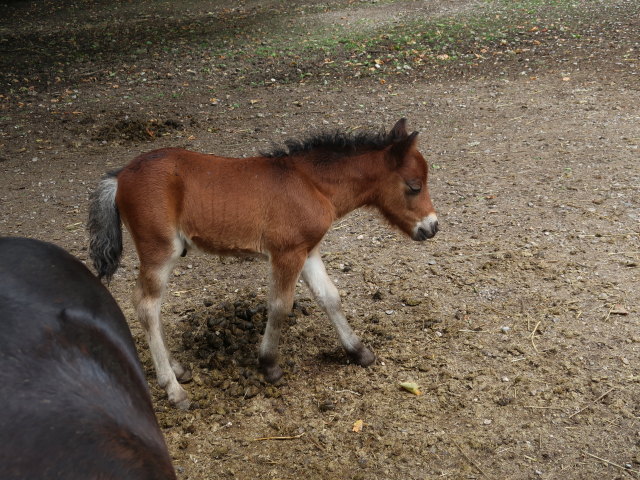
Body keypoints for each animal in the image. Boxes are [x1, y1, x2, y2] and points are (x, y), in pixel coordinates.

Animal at [90, 118, 438, 406]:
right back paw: (173, 389)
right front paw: (269, 365)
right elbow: (280, 306)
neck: (312, 184)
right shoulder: (287, 253)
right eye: (414, 186)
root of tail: (120, 176)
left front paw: (359, 351)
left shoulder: (308, 251)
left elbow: (330, 297)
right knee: (147, 305)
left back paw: (177, 368)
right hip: (160, 251)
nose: (432, 227)